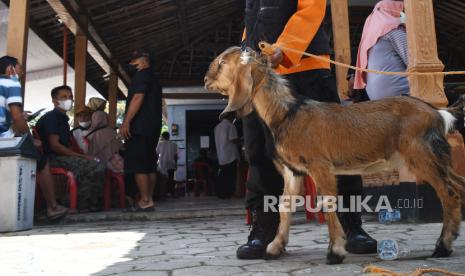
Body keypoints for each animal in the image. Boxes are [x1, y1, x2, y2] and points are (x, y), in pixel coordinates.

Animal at [205, 47, 464, 266]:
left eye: (221, 63)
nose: (206, 80)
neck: (287, 114)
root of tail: (437, 113)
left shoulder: (320, 166)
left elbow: (329, 203)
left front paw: (335, 251)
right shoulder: (293, 171)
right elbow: (284, 207)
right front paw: (274, 247)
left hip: (421, 157)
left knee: (449, 194)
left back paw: (443, 247)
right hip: (438, 160)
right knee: (459, 186)